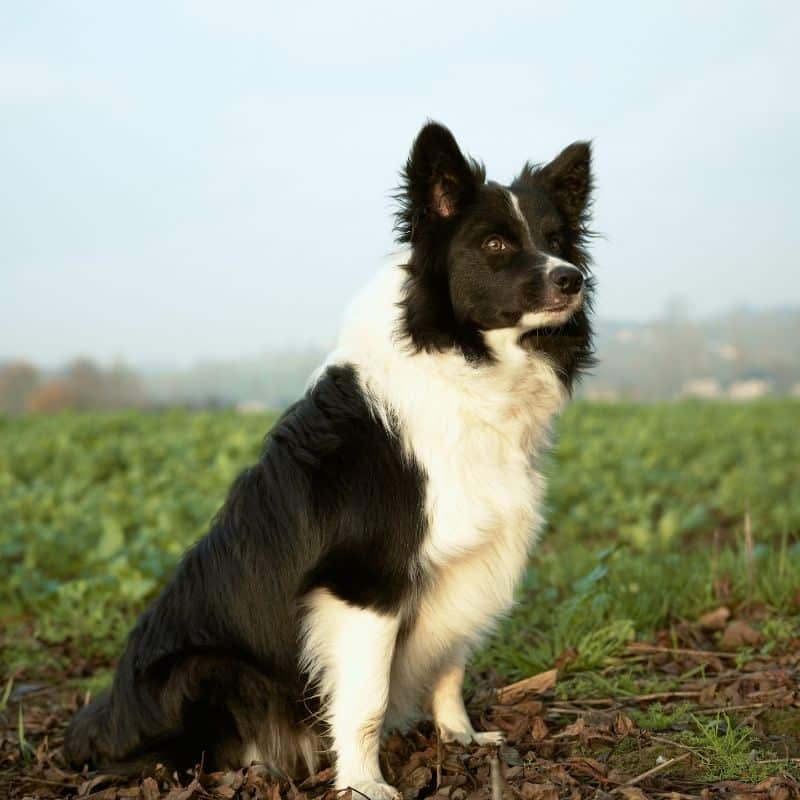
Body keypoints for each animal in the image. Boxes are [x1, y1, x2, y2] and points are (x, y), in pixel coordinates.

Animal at [65, 122, 592, 796]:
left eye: (556, 240)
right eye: (496, 243)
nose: (571, 278)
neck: (462, 364)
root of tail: (97, 720)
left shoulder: (469, 563)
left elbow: (449, 666)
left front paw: (460, 738)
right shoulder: (362, 583)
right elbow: (365, 699)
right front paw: (364, 784)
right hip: (202, 670)